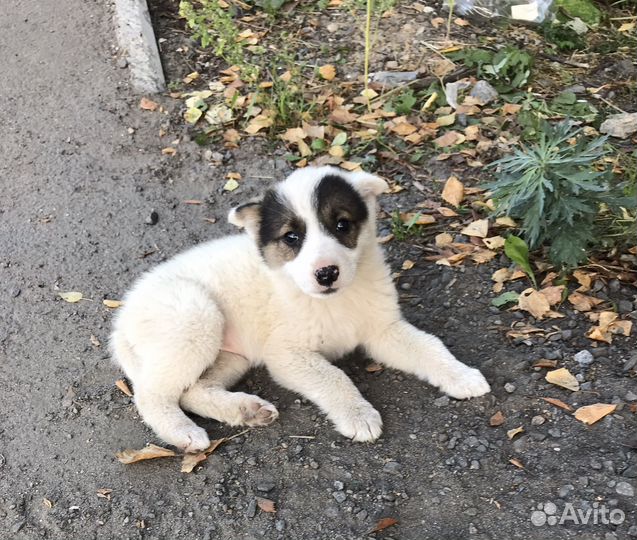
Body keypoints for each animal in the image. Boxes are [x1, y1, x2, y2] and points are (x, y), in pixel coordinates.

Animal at [110, 166, 486, 452]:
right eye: (291, 237)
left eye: (341, 225)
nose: (327, 273)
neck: (333, 301)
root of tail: (122, 320)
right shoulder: (286, 354)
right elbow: (333, 376)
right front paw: (358, 415)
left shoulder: (383, 329)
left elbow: (429, 346)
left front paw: (461, 375)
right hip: (193, 318)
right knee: (152, 395)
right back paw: (184, 431)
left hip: (230, 356)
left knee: (192, 391)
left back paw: (246, 410)